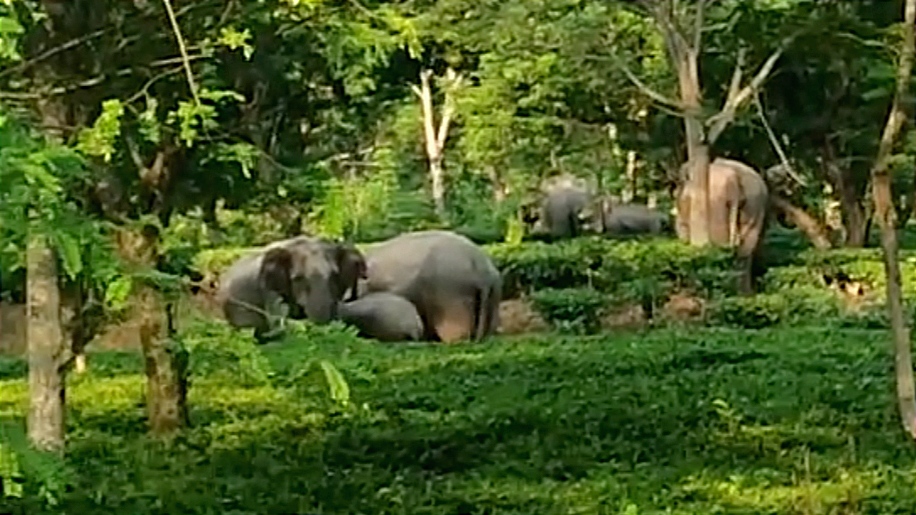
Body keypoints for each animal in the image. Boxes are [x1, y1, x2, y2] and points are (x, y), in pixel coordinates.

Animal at [675, 157, 769, 295]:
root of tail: (735, 178)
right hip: (755, 204)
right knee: (745, 250)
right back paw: (743, 294)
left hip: (717, 203)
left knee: (721, 247)